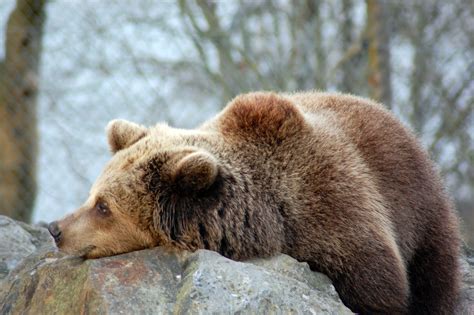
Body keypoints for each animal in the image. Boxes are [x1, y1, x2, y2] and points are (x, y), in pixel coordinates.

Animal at [49, 92, 460, 315]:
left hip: (419, 209)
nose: (55, 229)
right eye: (92, 193)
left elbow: (378, 290)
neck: (269, 220)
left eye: (104, 207)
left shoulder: (340, 219)